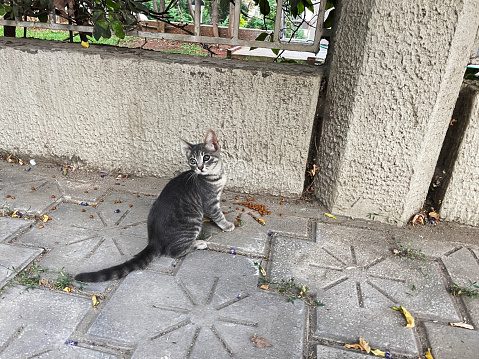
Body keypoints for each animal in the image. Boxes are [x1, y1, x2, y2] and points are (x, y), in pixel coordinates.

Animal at [73, 130, 236, 284]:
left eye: (206, 157)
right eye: (193, 161)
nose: (200, 167)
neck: (215, 176)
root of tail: (153, 240)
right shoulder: (209, 202)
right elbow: (217, 214)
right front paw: (227, 225)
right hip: (192, 221)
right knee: (174, 251)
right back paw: (198, 243)